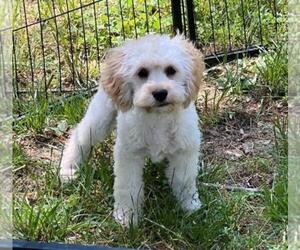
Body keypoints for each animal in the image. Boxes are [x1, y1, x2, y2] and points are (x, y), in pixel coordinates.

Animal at [61, 34, 206, 228]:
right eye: (142, 72)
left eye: (171, 70)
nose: (160, 93)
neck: (157, 117)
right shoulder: (128, 155)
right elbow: (127, 186)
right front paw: (126, 216)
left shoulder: (185, 150)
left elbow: (184, 180)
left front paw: (189, 205)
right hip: (100, 118)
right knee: (80, 135)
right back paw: (68, 168)